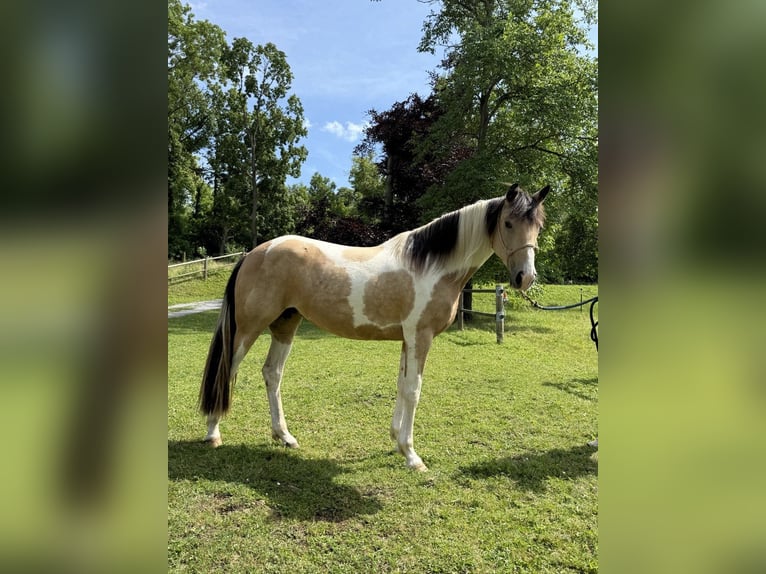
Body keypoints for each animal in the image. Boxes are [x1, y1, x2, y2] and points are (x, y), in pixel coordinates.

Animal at [198, 183, 550, 471]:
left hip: (285, 325)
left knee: (272, 373)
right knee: (227, 370)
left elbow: (401, 385)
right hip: (248, 329)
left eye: (537, 226)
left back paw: (284, 436)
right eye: (508, 223)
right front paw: (412, 455)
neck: (431, 266)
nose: (525, 277)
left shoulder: (408, 339)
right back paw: (214, 433)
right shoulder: (420, 337)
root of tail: (254, 253)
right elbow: (414, 390)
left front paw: (397, 442)